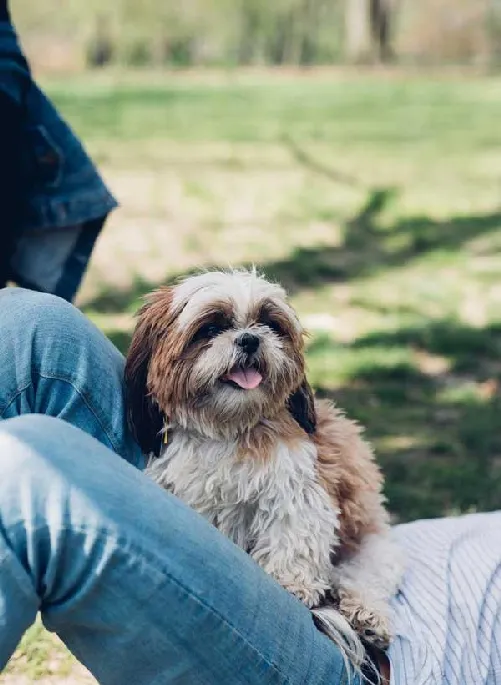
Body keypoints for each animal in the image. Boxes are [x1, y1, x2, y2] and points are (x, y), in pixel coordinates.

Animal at [125, 270, 402, 672]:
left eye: (269, 324)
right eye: (211, 328)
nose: (249, 339)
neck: (227, 429)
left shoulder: (297, 487)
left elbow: (293, 532)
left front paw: (291, 584)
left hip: (372, 546)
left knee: (363, 577)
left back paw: (367, 616)